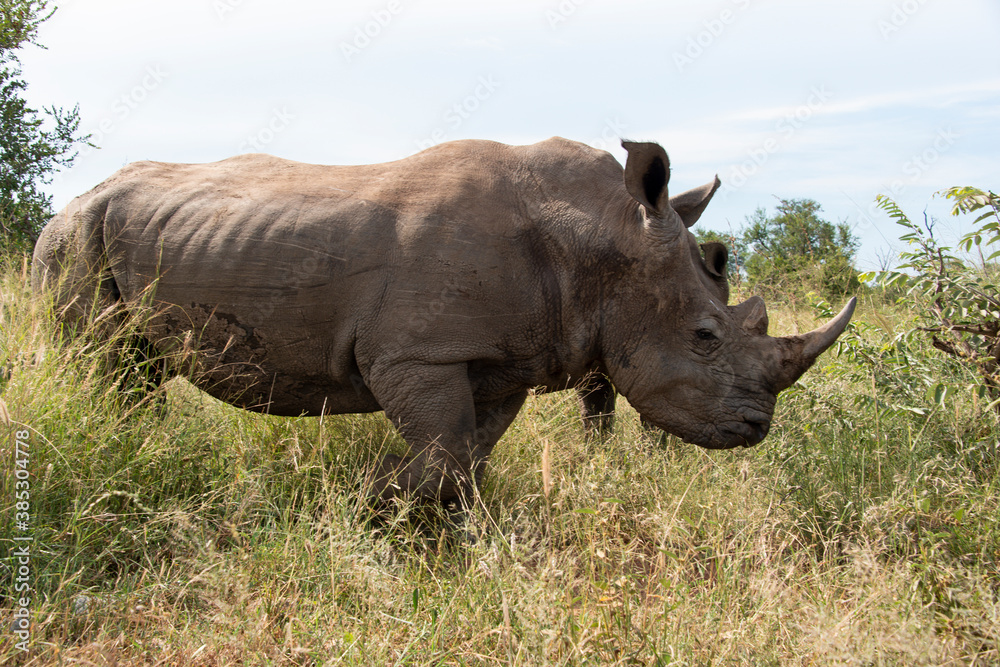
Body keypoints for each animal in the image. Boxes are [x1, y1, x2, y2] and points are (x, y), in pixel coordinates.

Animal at [32, 137, 855, 509]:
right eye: (705, 337)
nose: (755, 427)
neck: (601, 233)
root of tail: (69, 201)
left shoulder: (499, 359)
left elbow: (468, 454)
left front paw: (410, 509)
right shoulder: (416, 354)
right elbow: (447, 450)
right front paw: (368, 501)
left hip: (114, 231)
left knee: (135, 368)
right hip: (70, 236)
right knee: (98, 359)